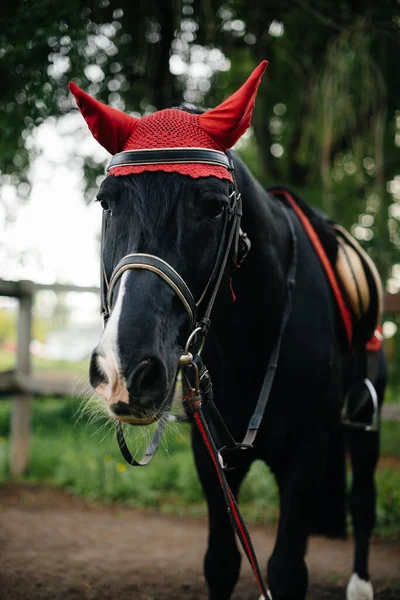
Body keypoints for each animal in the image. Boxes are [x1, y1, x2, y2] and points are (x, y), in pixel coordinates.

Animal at [70, 62, 386, 600]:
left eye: (214, 206)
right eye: (106, 202)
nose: (127, 370)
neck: (252, 339)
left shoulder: (309, 450)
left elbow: (286, 571)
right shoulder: (210, 452)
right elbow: (221, 561)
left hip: (364, 422)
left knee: (362, 500)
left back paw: (361, 585)